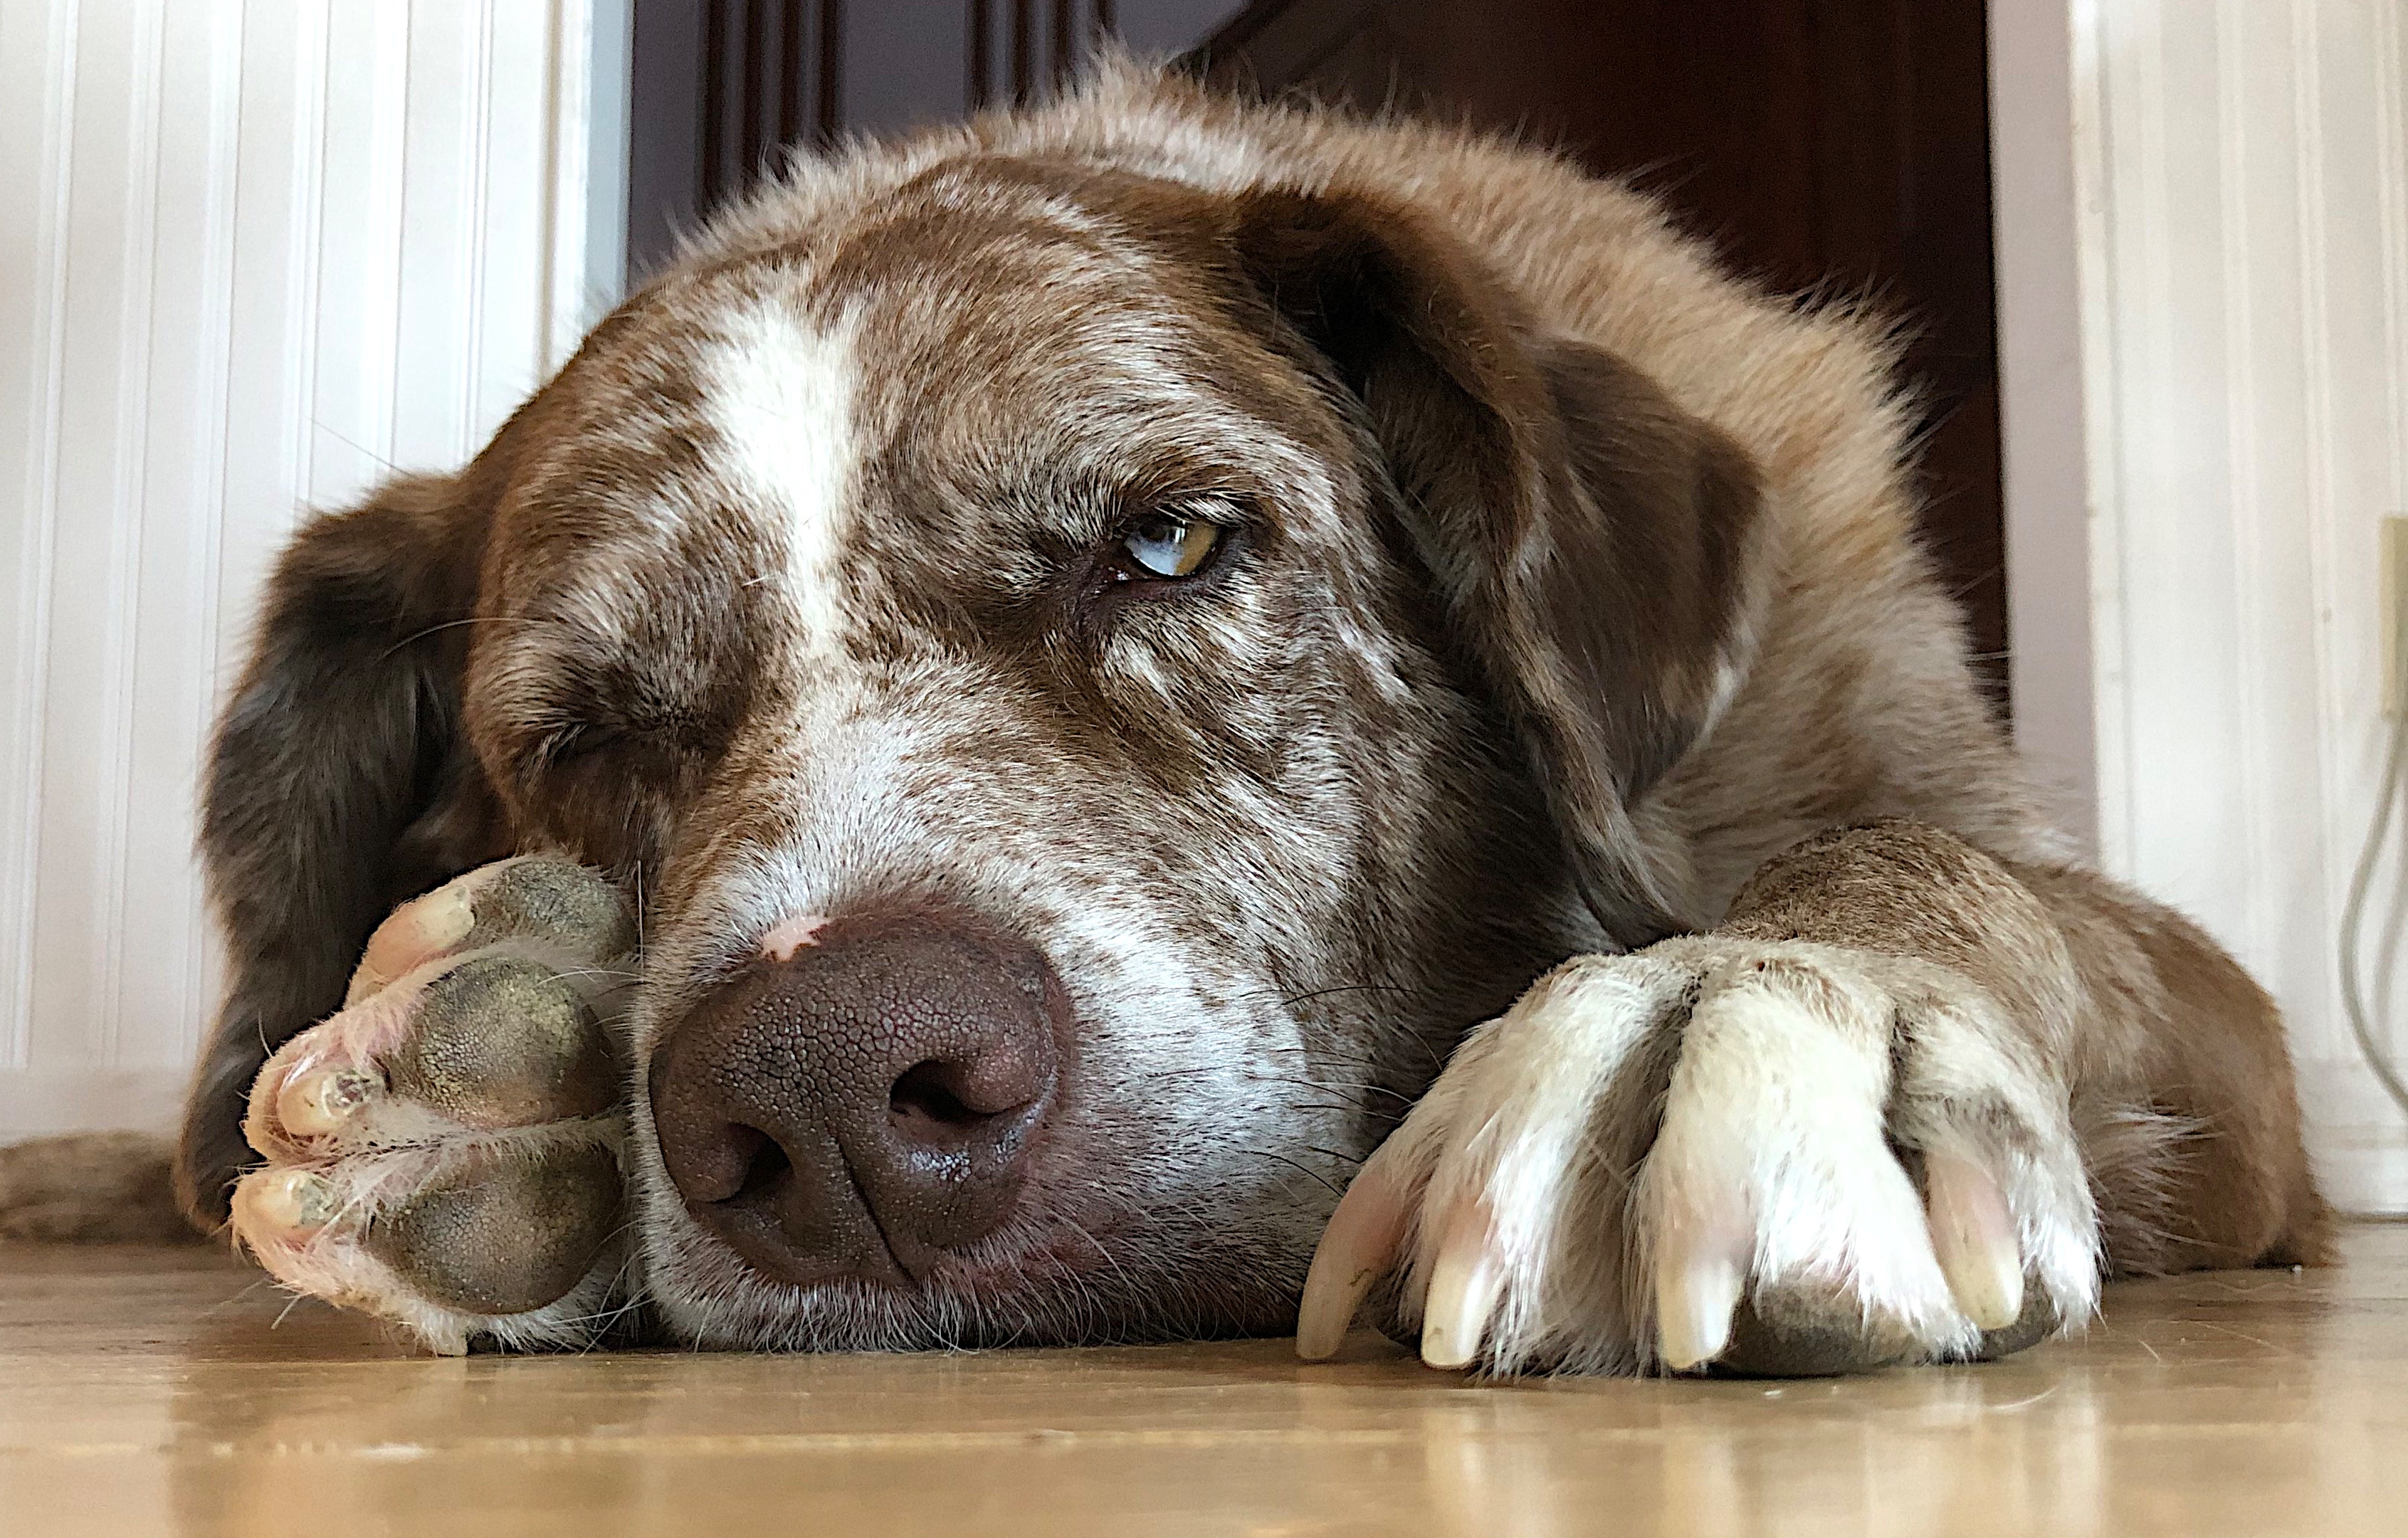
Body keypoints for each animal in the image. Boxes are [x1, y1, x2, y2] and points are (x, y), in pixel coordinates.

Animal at [0, 66, 2330, 1376]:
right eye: (584, 739)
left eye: (1169, 543)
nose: (832, 1092)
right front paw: (516, 1104)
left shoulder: (2203, 1021)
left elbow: (1937, 886)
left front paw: (1734, 1001)